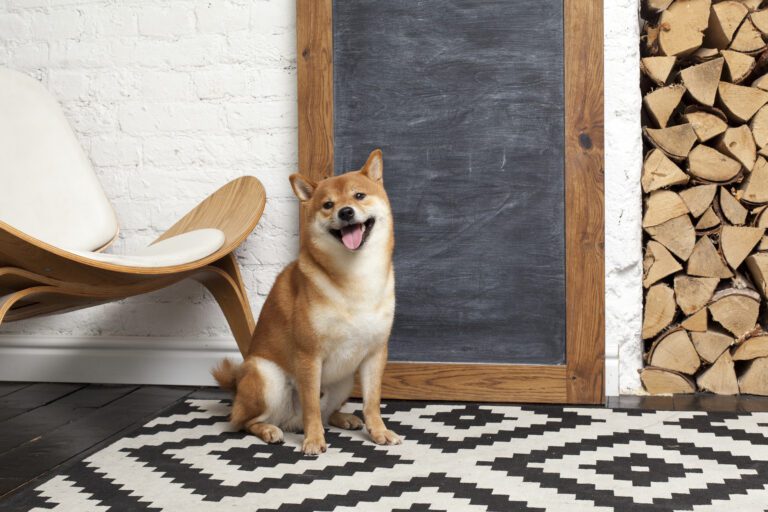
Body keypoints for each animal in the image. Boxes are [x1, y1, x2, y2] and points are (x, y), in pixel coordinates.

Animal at [212, 149, 402, 456]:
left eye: (359, 195)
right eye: (328, 204)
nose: (345, 212)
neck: (356, 278)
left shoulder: (375, 353)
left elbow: (372, 402)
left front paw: (379, 431)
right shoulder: (309, 355)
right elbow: (311, 405)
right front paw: (313, 440)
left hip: (344, 381)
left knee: (327, 411)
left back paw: (343, 417)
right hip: (267, 377)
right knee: (242, 421)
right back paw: (269, 430)